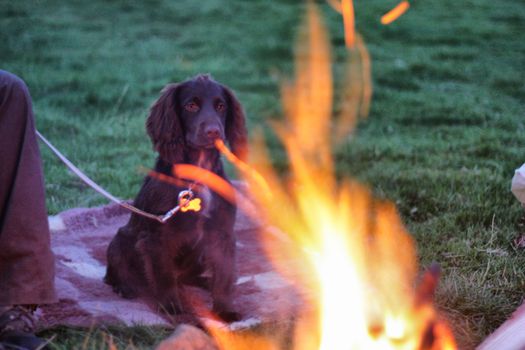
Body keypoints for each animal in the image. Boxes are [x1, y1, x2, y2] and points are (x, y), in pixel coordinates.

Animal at [105, 74, 249, 322]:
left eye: (221, 106)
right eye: (191, 106)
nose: (214, 132)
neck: (198, 173)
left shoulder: (222, 231)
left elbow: (224, 272)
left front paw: (224, 309)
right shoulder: (156, 235)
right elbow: (163, 274)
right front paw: (171, 307)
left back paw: (204, 282)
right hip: (121, 238)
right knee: (116, 271)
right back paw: (125, 287)